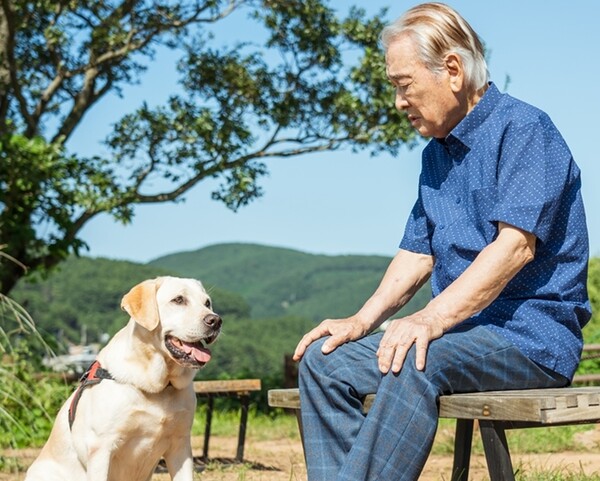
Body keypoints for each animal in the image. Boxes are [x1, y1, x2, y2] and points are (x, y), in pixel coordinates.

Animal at [25, 276, 221, 480]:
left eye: (207, 303)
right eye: (178, 300)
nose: (215, 320)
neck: (160, 385)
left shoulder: (180, 445)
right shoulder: (101, 448)